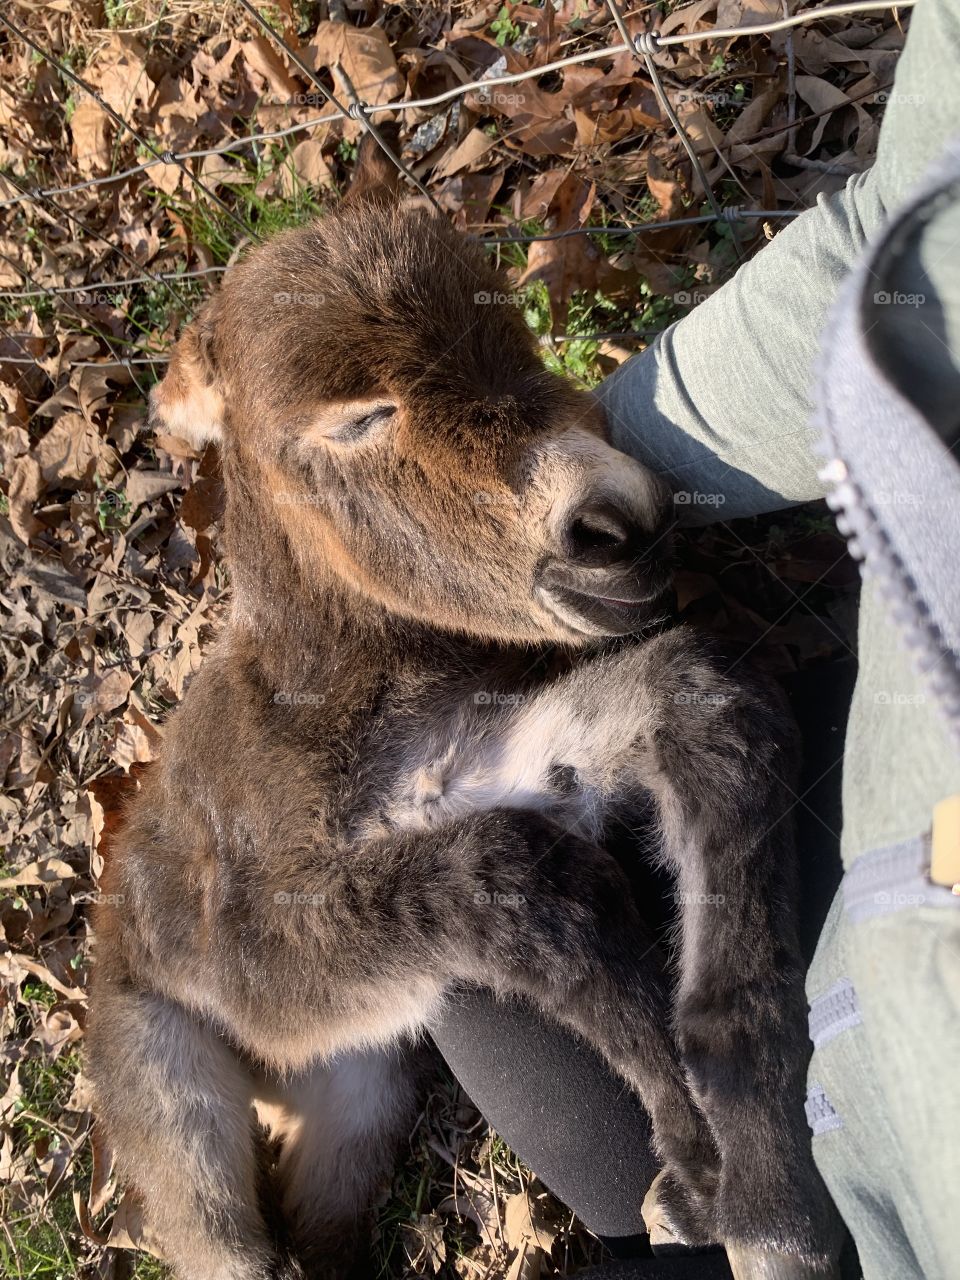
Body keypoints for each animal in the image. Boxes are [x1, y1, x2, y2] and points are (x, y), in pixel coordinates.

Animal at [90, 145, 839, 1274]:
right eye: (356, 420)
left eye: (515, 329)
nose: (618, 516)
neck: (351, 682)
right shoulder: (270, 934)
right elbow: (521, 879)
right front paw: (696, 1169)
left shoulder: (506, 758)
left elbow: (693, 718)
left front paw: (751, 1201)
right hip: (167, 1080)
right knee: (226, 1235)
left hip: (359, 1083)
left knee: (326, 1216)